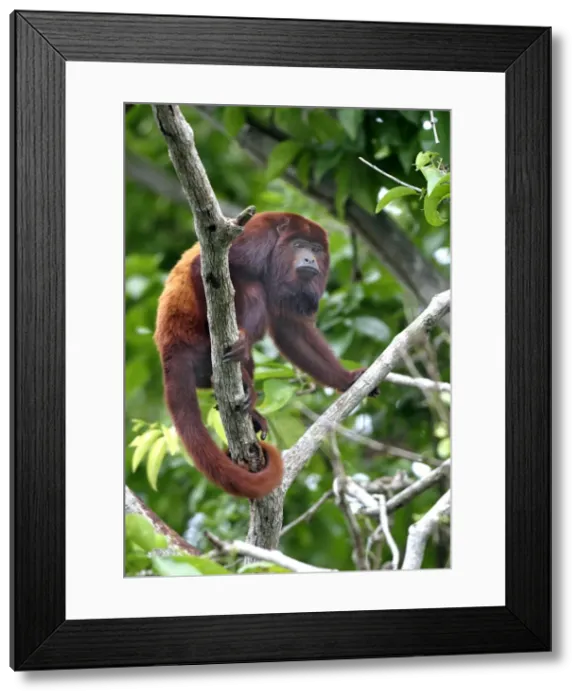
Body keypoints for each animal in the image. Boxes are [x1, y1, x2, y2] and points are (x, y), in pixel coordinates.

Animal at [153, 211, 378, 500]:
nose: (309, 259)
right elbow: (199, 268)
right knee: (252, 288)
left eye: (316, 249)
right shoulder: (257, 236)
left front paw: (348, 378)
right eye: (298, 245)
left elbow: (290, 328)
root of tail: (170, 350)